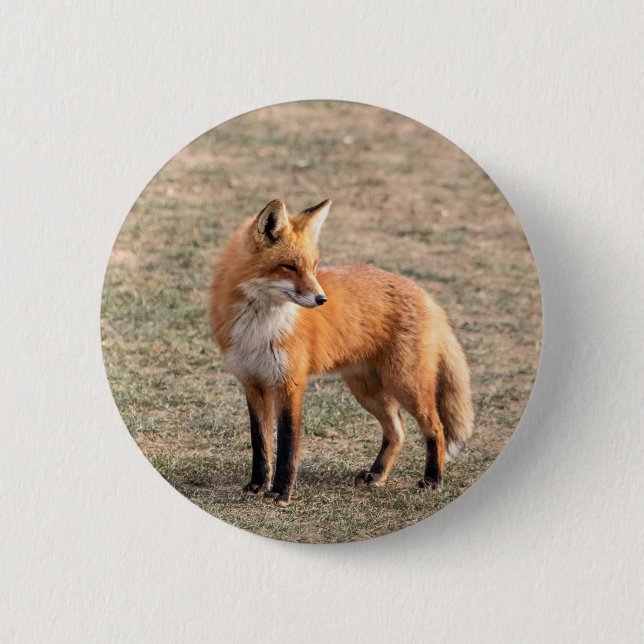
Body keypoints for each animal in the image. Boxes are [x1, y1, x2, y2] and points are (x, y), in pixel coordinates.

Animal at [209, 198, 474, 506]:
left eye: (314, 267)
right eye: (289, 267)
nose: (322, 299)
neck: (260, 327)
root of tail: (427, 295)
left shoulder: (290, 384)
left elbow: (287, 444)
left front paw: (281, 493)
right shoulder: (253, 384)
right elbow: (260, 442)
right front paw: (257, 485)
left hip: (406, 384)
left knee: (436, 427)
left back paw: (433, 479)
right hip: (367, 391)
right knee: (398, 431)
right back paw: (377, 475)